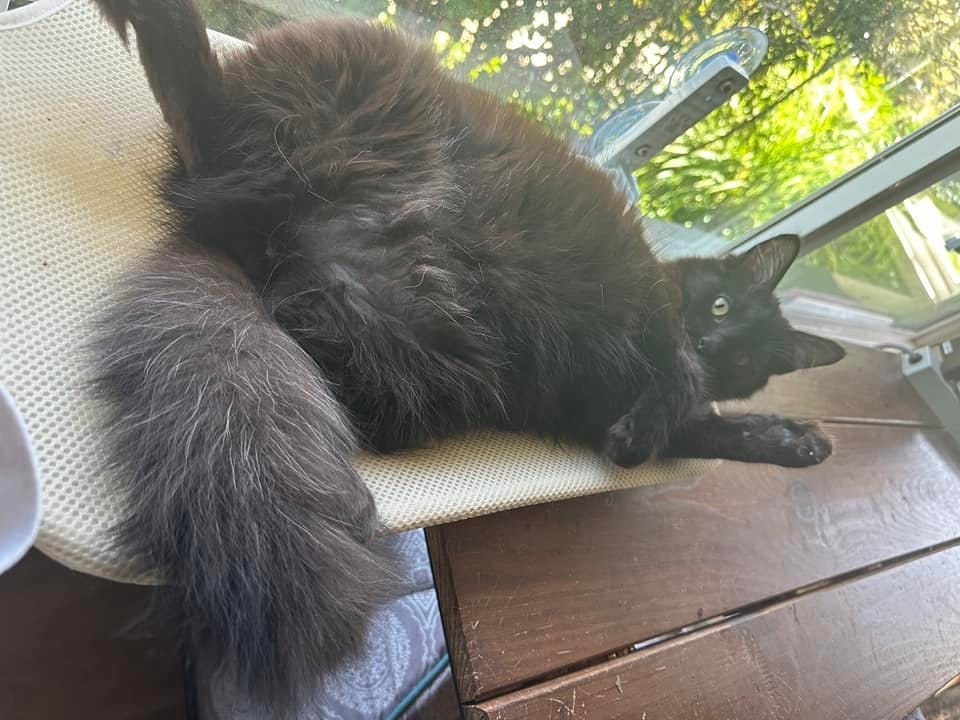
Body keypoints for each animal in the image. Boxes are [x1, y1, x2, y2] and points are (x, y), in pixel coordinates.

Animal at [88, 0, 840, 708]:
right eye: (720, 308)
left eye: (744, 363)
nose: (713, 344)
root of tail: (258, 241)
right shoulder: (654, 310)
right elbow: (679, 383)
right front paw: (671, 420)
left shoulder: (623, 407)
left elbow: (708, 427)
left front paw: (794, 441)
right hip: (360, 71)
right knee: (198, 111)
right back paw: (159, 18)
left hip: (424, 360)